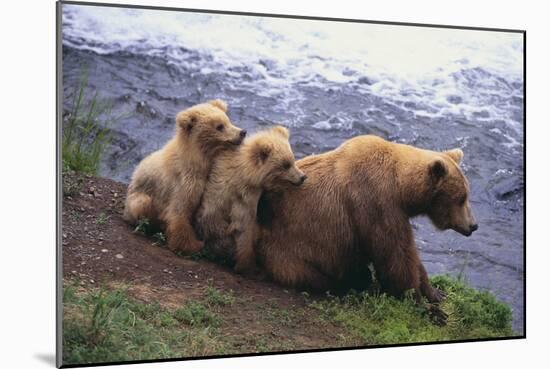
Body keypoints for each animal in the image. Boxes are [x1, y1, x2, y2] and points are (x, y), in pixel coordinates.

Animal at [258, 134, 478, 300]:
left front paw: (435, 293)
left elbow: (409, 253)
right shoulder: (375, 202)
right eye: (461, 198)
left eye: (466, 194)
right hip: (291, 249)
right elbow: (395, 253)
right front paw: (418, 299)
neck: (400, 188)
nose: (473, 225)